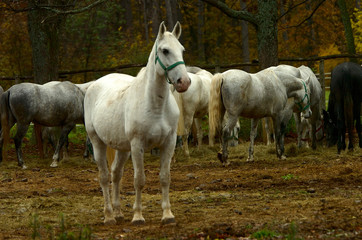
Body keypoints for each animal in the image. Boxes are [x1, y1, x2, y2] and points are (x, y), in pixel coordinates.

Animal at [84, 22, 191, 225]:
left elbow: (165, 178)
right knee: (104, 177)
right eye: (165, 50)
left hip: (122, 148)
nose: (184, 82)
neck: (155, 106)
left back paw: (118, 212)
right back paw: (109, 216)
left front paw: (167, 215)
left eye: (182, 50)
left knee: (116, 174)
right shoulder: (137, 145)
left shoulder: (169, 142)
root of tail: (94, 85)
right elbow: (139, 180)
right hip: (98, 142)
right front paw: (138, 216)